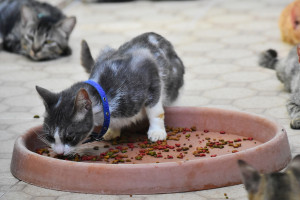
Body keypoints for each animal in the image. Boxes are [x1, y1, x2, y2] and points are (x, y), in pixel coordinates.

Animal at [35, 32, 185, 155]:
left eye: (69, 137)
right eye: (49, 137)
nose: (59, 152)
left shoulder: (150, 72)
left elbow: (155, 111)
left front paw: (157, 131)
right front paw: (112, 130)